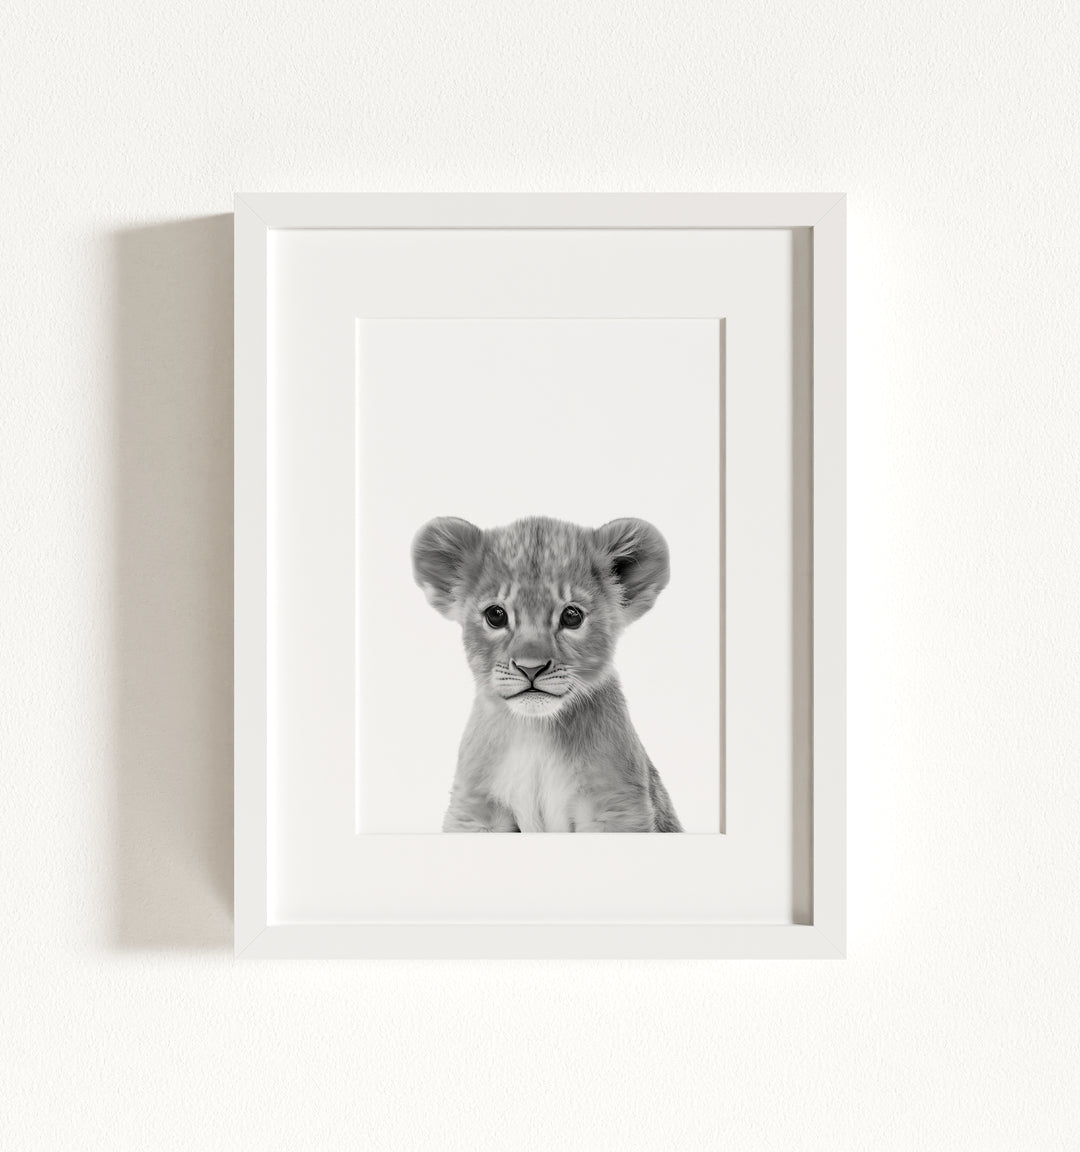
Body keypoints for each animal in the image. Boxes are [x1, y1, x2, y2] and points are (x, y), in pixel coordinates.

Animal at [411, 515, 683, 832]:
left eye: (572, 616)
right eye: (496, 615)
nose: (531, 668)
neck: (536, 732)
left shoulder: (616, 806)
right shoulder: (474, 809)